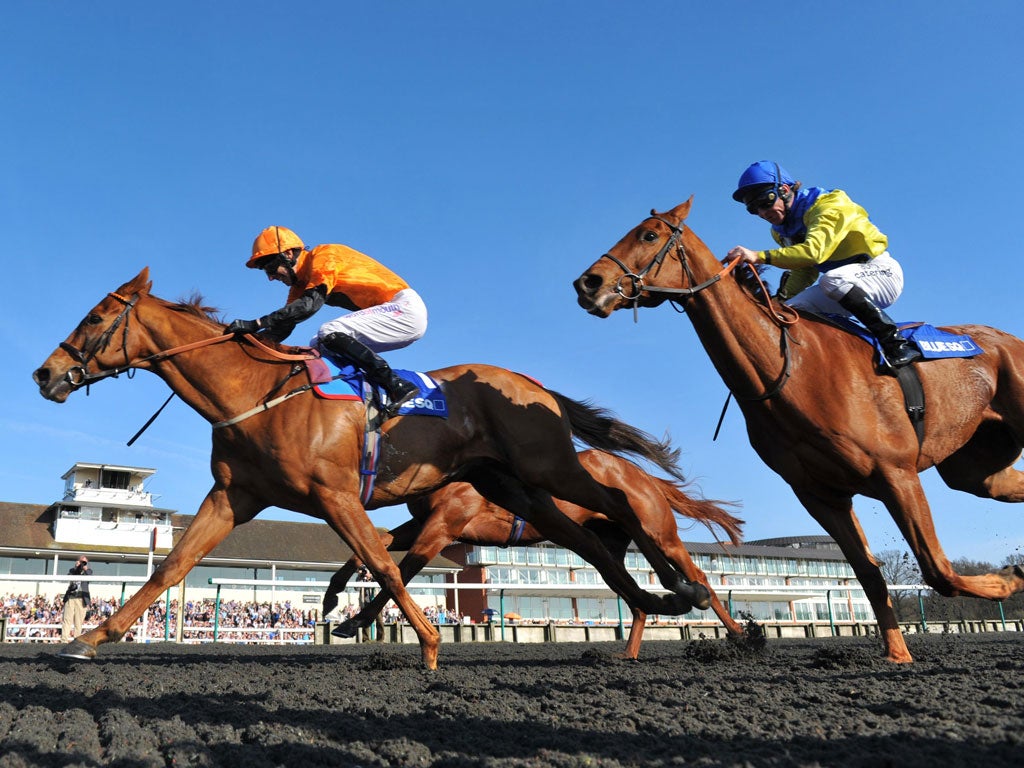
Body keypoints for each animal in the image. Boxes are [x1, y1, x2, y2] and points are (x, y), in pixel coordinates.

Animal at [319, 448, 745, 659]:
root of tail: (641, 474)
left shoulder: (442, 527)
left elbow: (401, 572)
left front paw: (353, 621)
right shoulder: (423, 524)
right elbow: (374, 550)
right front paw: (334, 597)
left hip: (659, 533)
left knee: (699, 578)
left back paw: (742, 635)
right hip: (608, 544)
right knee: (633, 596)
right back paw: (628, 653)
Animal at [573, 199, 1024, 667]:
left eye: (648, 235)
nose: (588, 282)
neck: (792, 370)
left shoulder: (896, 474)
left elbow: (938, 569)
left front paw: (1008, 580)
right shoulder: (819, 493)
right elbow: (868, 573)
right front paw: (897, 654)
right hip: (977, 473)